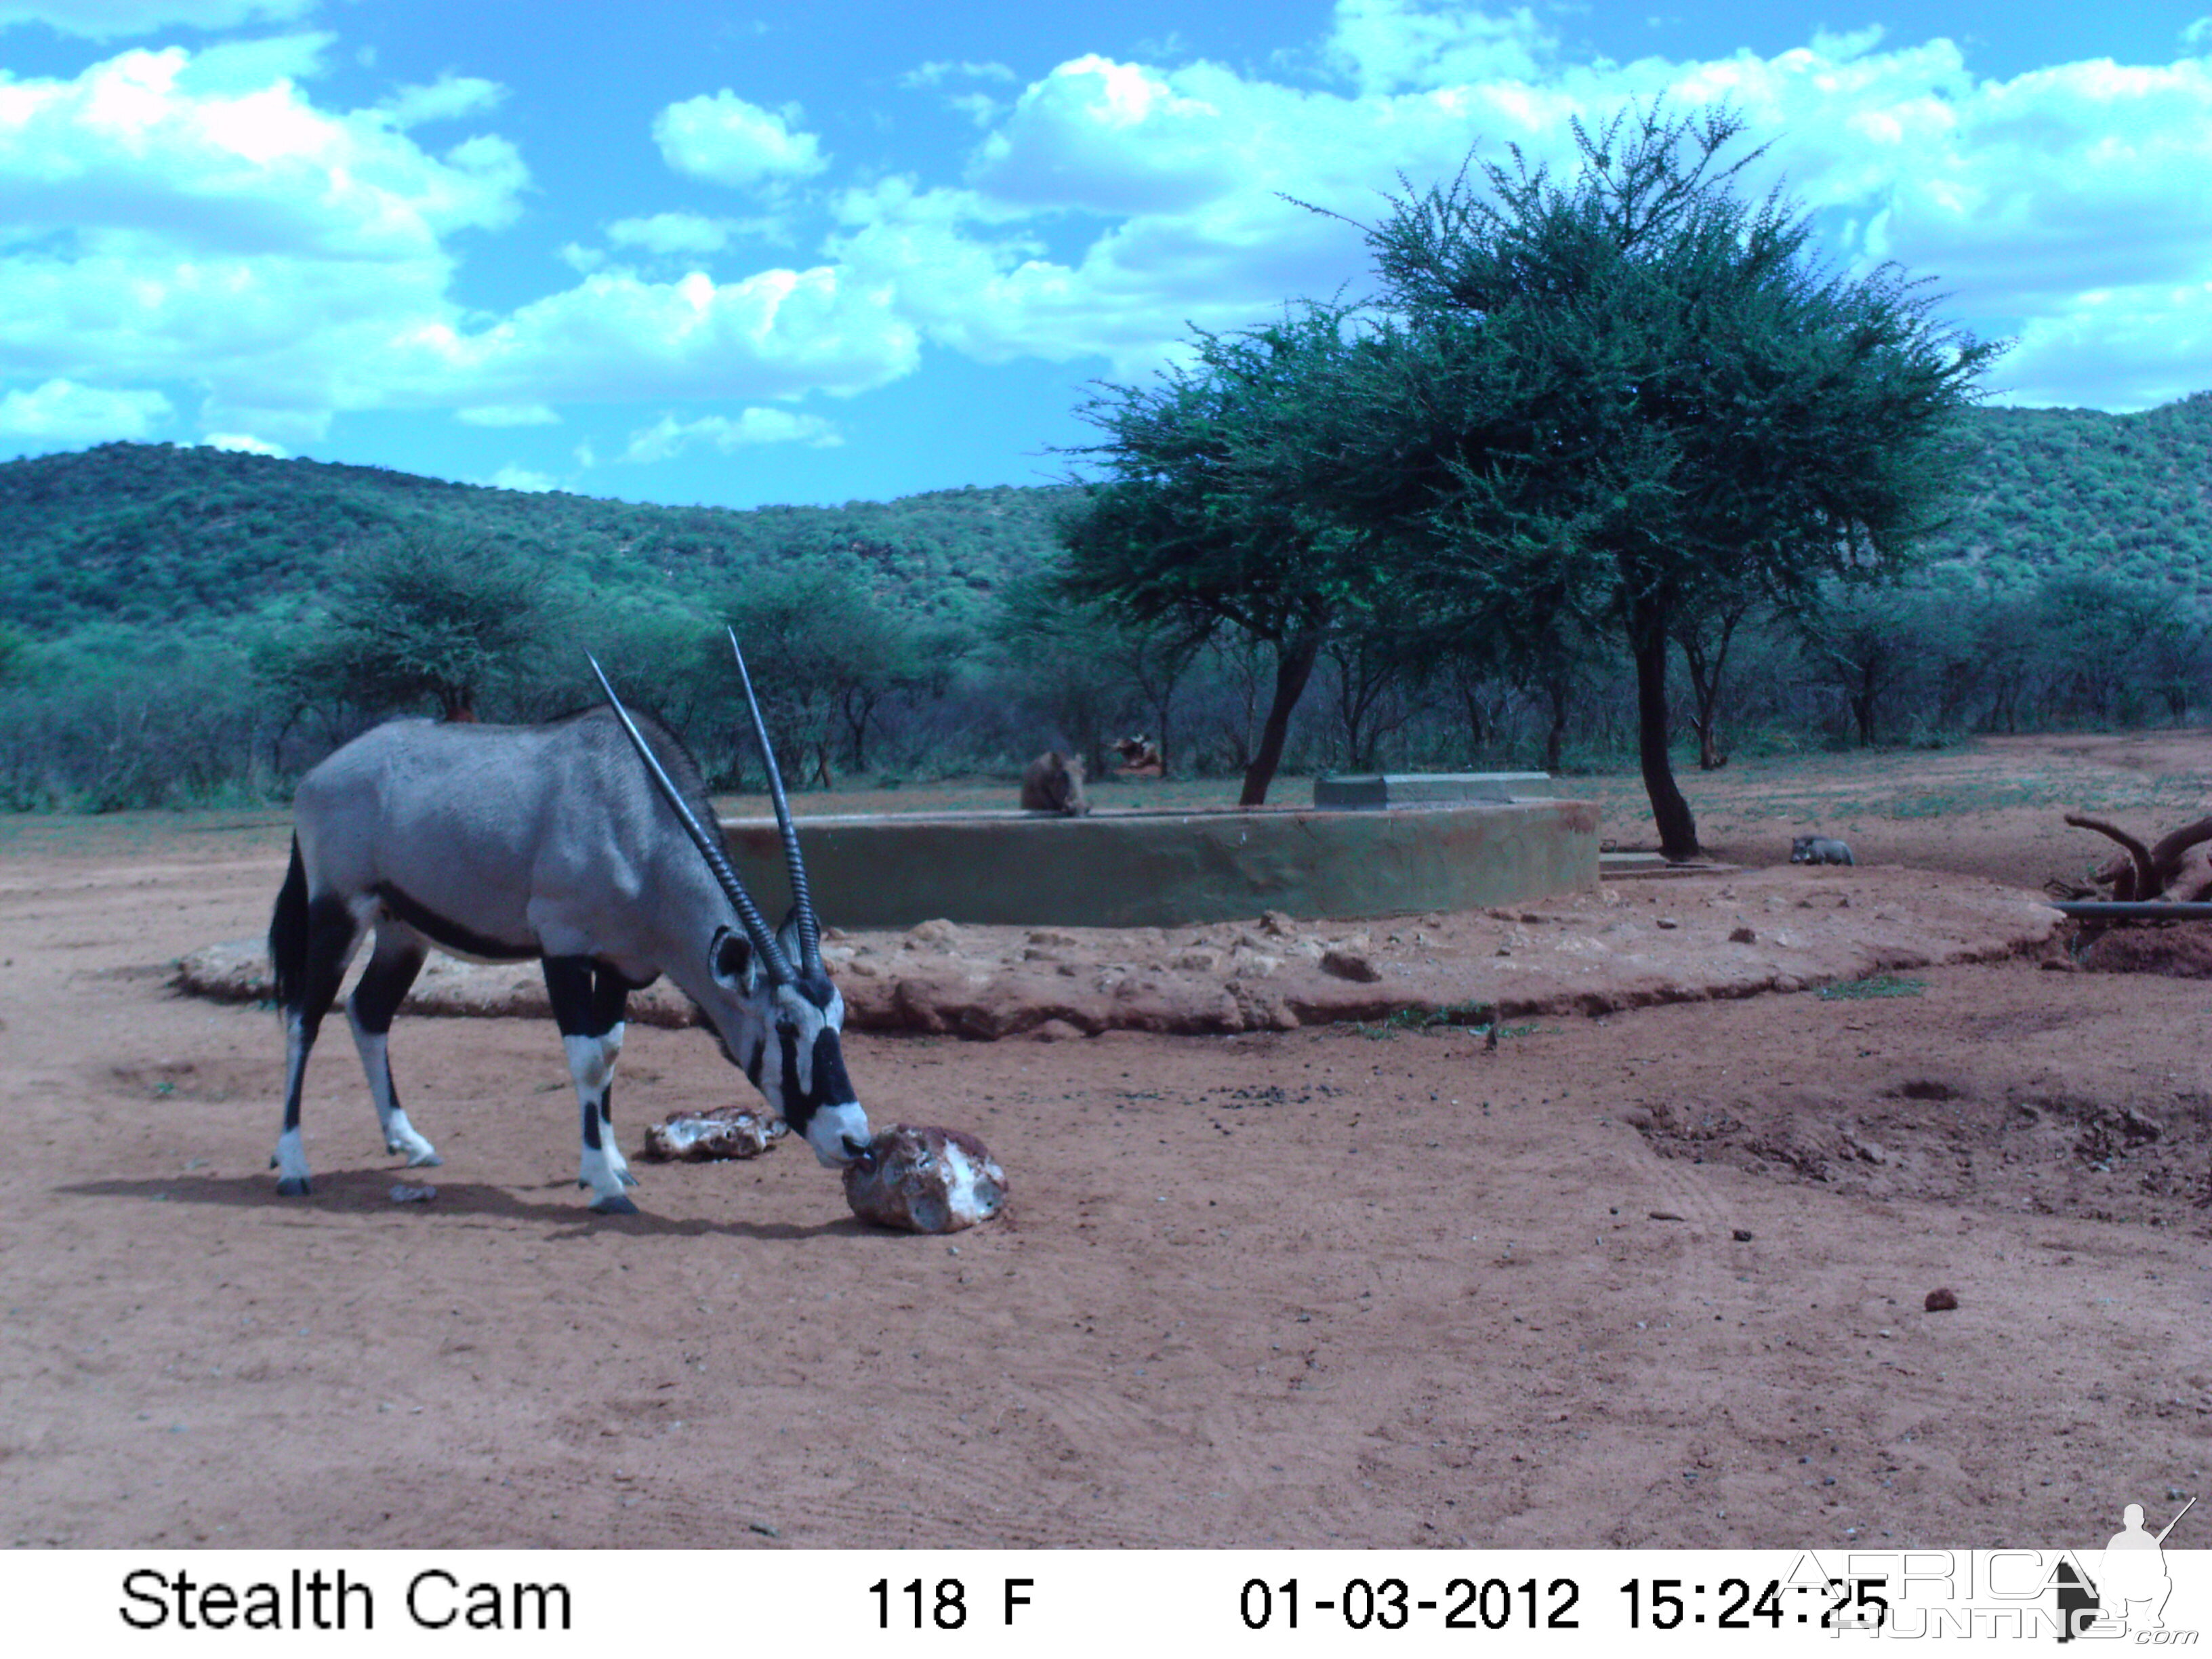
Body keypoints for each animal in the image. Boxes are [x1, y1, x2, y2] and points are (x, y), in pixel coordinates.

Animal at [263, 632, 867, 1212]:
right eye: (786, 1028)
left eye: (837, 1017)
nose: (855, 1141)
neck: (636, 820)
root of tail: (316, 777)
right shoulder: (563, 948)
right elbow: (588, 1059)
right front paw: (604, 1185)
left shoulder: (621, 964)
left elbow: (612, 1052)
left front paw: (614, 1164)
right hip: (339, 913)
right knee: (302, 1018)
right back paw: (292, 1166)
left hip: (401, 930)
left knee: (368, 1012)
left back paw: (409, 1143)